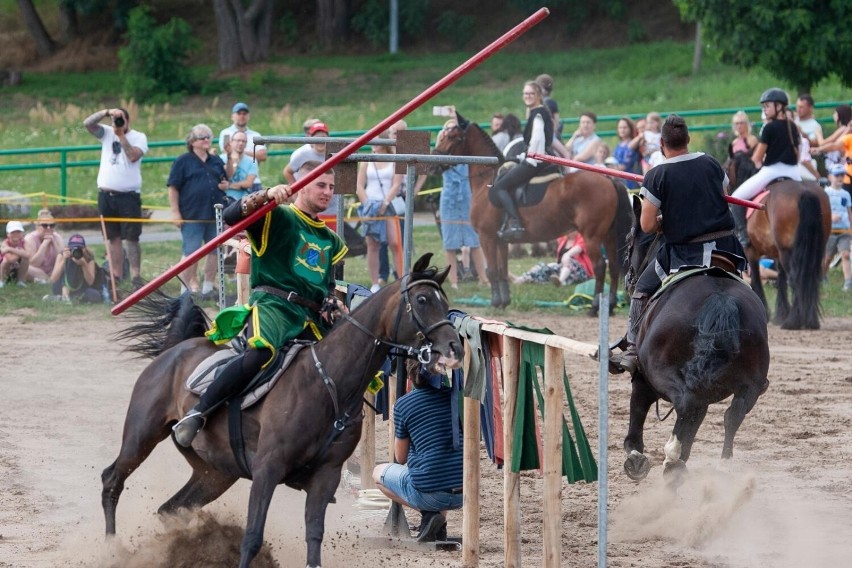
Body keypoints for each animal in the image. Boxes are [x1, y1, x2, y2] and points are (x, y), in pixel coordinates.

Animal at [102, 254, 462, 568]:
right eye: (422, 300)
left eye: (445, 303)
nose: (454, 347)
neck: (328, 382)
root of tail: (175, 350)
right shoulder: (267, 469)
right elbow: (252, 536)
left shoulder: (326, 475)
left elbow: (314, 534)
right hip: (142, 436)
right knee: (112, 481)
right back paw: (112, 549)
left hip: (214, 473)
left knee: (170, 510)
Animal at [432, 121, 632, 312]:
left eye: (450, 136)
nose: (434, 161)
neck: (486, 181)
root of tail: (609, 180)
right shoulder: (501, 241)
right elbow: (502, 270)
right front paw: (505, 302)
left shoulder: (486, 237)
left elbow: (492, 271)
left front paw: (495, 303)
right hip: (609, 235)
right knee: (614, 266)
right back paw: (610, 304)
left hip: (591, 237)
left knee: (600, 267)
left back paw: (595, 306)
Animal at [620, 196, 772, 484]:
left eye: (630, 238)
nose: (629, 278)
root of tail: (722, 301)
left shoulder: (643, 378)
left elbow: (637, 416)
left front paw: (635, 458)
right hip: (749, 385)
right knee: (731, 415)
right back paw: (718, 465)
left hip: (661, 372)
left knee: (687, 404)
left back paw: (671, 460)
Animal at [724, 152, 832, 328]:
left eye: (727, 169)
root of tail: (805, 191)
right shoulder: (777, 252)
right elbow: (780, 278)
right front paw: (781, 314)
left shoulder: (751, 251)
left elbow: (756, 278)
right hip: (812, 248)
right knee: (808, 278)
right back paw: (810, 320)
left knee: (794, 278)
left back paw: (793, 321)